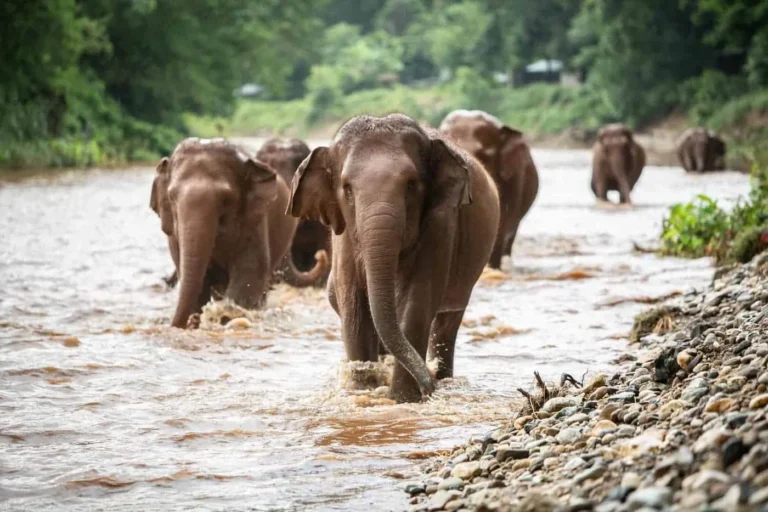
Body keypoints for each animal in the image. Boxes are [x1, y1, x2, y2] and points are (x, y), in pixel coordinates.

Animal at [287, 114, 500, 402]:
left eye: (411, 185)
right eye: (347, 189)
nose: (429, 386)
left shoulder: (441, 224)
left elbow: (417, 301)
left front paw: (402, 398)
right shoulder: (344, 236)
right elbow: (354, 306)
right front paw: (362, 390)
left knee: (447, 321)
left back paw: (442, 377)